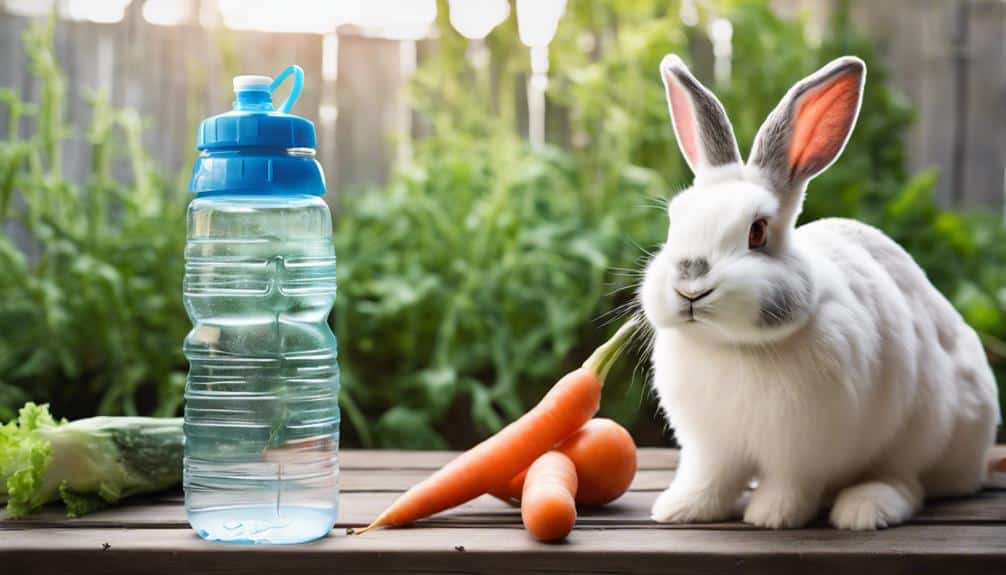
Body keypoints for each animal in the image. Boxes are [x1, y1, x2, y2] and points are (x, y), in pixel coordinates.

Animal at [639, 54, 1000, 530]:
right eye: (675, 222)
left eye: (757, 232)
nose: (689, 288)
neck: (734, 347)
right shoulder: (711, 448)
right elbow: (709, 479)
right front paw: (681, 508)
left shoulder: (803, 451)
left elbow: (790, 484)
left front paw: (772, 517)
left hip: (926, 424)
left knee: (908, 481)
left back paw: (865, 508)